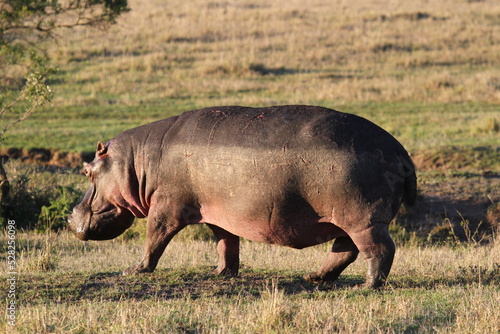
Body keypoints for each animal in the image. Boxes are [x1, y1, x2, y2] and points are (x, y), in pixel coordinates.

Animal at [67, 105, 418, 288]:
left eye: (86, 171)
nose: (71, 217)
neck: (136, 161)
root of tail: (400, 149)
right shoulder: (216, 210)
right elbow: (225, 242)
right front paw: (221, 273)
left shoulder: (166, 208)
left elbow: (154, 239)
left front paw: (134, 270)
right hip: (345, 219)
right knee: (345, 250)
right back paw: (313, 277)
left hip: (362, 218)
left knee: (379, 250)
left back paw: (367, 286)